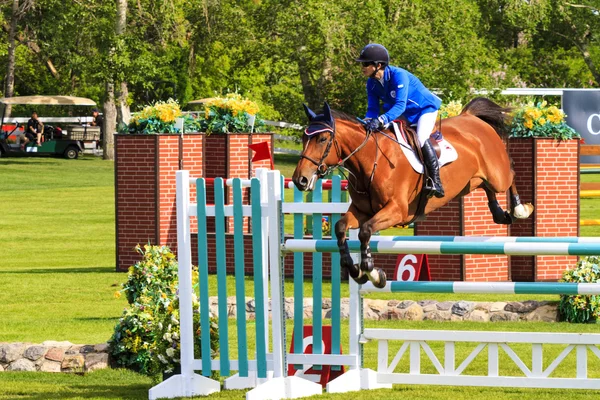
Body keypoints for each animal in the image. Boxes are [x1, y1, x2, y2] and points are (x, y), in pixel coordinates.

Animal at [292, 98, 536, 290]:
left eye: (322, 139)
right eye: (303, 139)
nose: (299, 180)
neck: (370, 160)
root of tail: (471, 117)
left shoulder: (396, 211)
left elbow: (365, 231)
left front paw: (372, 272)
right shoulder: (361, 210)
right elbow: (341, 227)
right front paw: (354, 270)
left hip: (497, 174)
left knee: (510, 174)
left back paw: (519, 209)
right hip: (469, 182)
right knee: (486, 187)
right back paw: (499, 213)